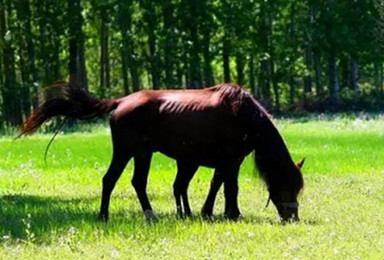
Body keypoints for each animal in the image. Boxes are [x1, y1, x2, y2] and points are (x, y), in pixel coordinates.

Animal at [21, 80, 304, 222]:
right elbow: (224, 187)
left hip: (141, 154)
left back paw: (146, 215)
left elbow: (224, 187)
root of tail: (121, 102)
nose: (293, 217)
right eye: (287, 186)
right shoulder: (228, 160)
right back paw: (106, 216)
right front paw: (220, 213)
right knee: (112, 180)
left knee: (135, 182)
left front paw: (225, 213)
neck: (243, 116)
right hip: (127, 151)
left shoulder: (231, 161)